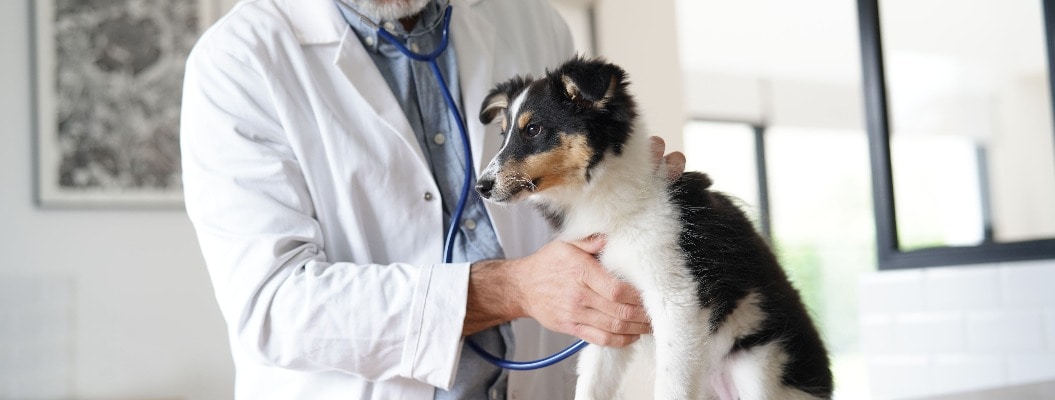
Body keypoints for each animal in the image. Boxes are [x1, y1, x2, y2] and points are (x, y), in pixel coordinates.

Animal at [476, 57, 831, 400]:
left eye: (533, 129)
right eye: (503, 134)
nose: (481, 187)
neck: (611, 199)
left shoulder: (678, 299)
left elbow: (672, 386)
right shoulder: (605, 311)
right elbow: (591, 383)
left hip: (758, 366)